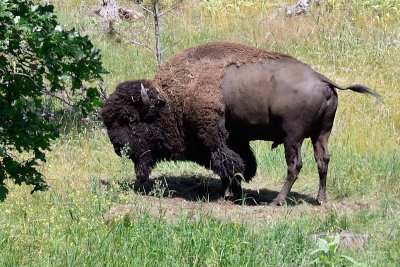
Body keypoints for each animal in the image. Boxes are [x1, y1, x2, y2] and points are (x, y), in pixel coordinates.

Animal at [100, 42, 378, 206]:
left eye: (130, 120)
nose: (118, 148)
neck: (174, 98)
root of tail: (322, 80)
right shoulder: (236, 138)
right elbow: (242, 163)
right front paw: (234, 193)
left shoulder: (214, 138)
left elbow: (225, 164)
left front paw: (227, 195)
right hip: (321, 134)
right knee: (323, 161)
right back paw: (320, 200)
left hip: (293, 137)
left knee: (295, 165)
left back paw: (278, 201)